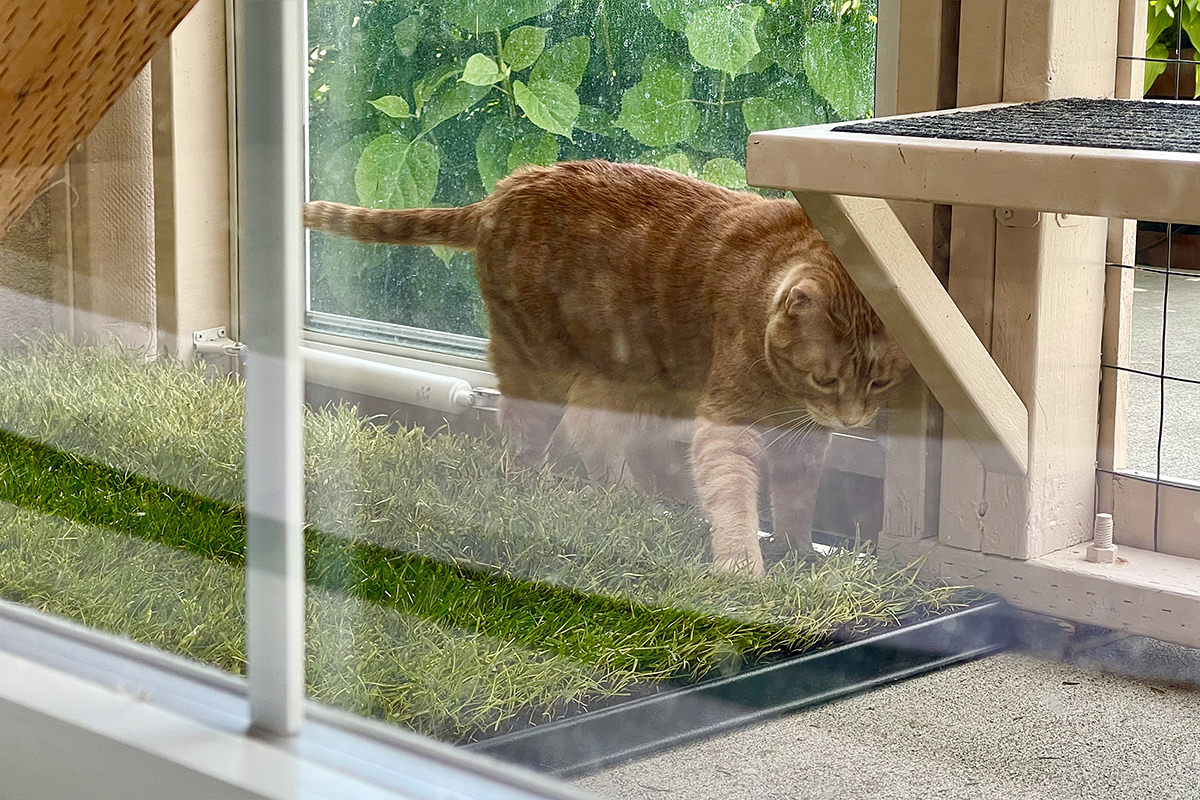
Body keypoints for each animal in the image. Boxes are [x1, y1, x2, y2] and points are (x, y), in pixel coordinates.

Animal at [302, 160, 907, 575]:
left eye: (879, 382)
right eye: (826, 379)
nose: (854, 421)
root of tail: (505, 191)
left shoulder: (803, 442)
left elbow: (797, 500)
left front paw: (798, 552)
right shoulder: (726, 427)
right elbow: (734, 496)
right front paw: (742, 567)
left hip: (629, 387)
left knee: (603, 442)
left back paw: (655, 505)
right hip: (541, 371)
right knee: (526, 440)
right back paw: (562, 495)